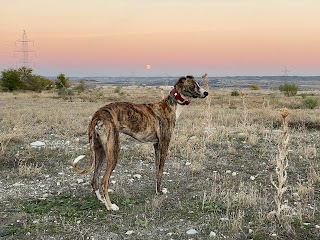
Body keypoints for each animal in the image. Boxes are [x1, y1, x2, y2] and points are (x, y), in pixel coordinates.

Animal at [72, 75, 208, 210]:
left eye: (198, 83)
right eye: (193, 85)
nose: (206, 93)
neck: (172, 105)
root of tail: (98, 115)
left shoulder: (156, 145)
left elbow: (157, 171)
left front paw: (157, 190)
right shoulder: (164, 144)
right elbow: (161, 171)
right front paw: (160, 192)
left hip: (100, 151)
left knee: (94, 180)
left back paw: (102, 201)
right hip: (113, 150)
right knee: (103, 181)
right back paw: (110, 206)